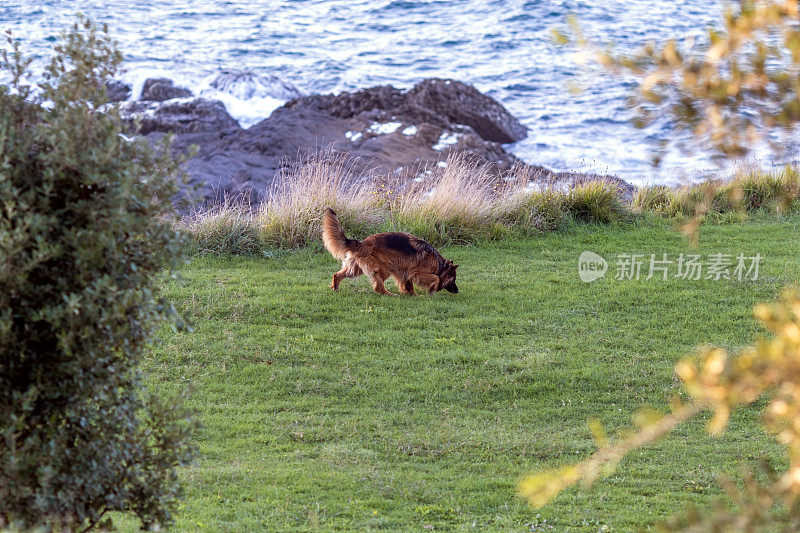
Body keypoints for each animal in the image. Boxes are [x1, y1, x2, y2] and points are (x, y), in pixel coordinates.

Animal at [318, 209, 456, 296]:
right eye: (453, 279)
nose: (457, 291)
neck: (441, 265)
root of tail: (362, 243)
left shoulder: (406, 272)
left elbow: (409, 285)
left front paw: (413, 295)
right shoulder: (416, 272)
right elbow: (436, 278)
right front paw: (431, 290)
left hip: (356, 269)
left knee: (337, 275)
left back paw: (336, 289)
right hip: (384, 269)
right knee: (378, 287)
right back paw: (390, 294)